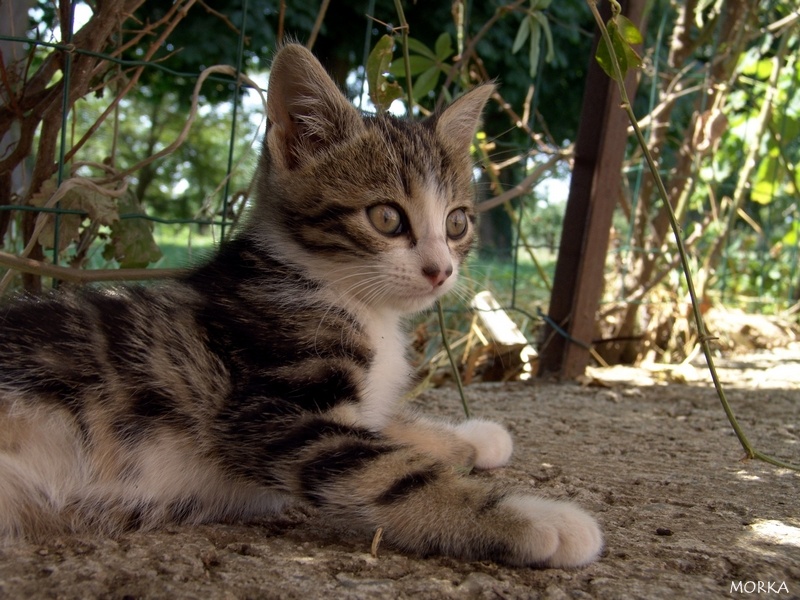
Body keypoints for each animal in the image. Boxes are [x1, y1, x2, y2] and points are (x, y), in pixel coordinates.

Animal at [0, 44, 600, 564]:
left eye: (456, 223)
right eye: (387, 217)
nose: (440, 270)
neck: (353, 300)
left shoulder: (342, 410)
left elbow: (387, 425)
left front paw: (473, 436)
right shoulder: (272, 410)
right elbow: (393, 473)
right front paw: (543, 522)